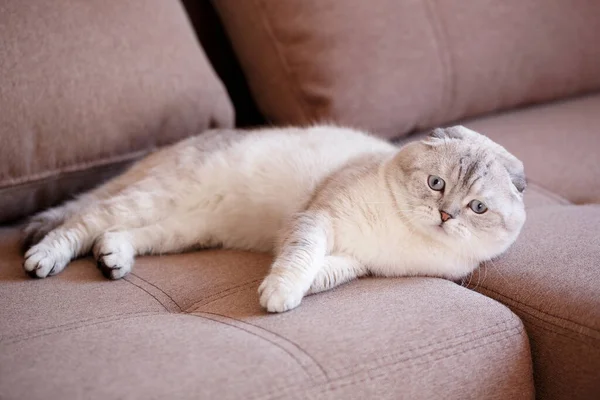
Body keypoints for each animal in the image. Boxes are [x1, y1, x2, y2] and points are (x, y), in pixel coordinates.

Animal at [21, 125, 524, 312]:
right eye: (437, 184)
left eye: (478, 208)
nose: (445, 214)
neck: (404, 234)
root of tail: (176, 145)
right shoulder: (317, 221)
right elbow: (299, 259)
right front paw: (279, 294)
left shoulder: (357, 263)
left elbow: (319, 274)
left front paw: (286, 294)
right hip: (154, 198)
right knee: (81, 223)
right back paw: (43, 260)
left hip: (183, 229)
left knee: (115, 233)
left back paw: (113, 260)